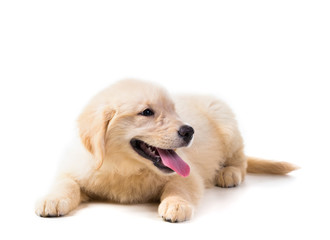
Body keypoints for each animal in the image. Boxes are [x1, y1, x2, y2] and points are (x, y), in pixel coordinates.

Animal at [34, 79, 298, 222]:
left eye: (174, 110)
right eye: (147, 112)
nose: (189, 131)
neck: (126, 168)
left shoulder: (189, 174)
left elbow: (178, 186)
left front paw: (176, 204)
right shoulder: (77, 166)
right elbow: (65, 182)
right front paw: (52, 199)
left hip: (225, 121)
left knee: (240, 158)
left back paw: (229, 172)